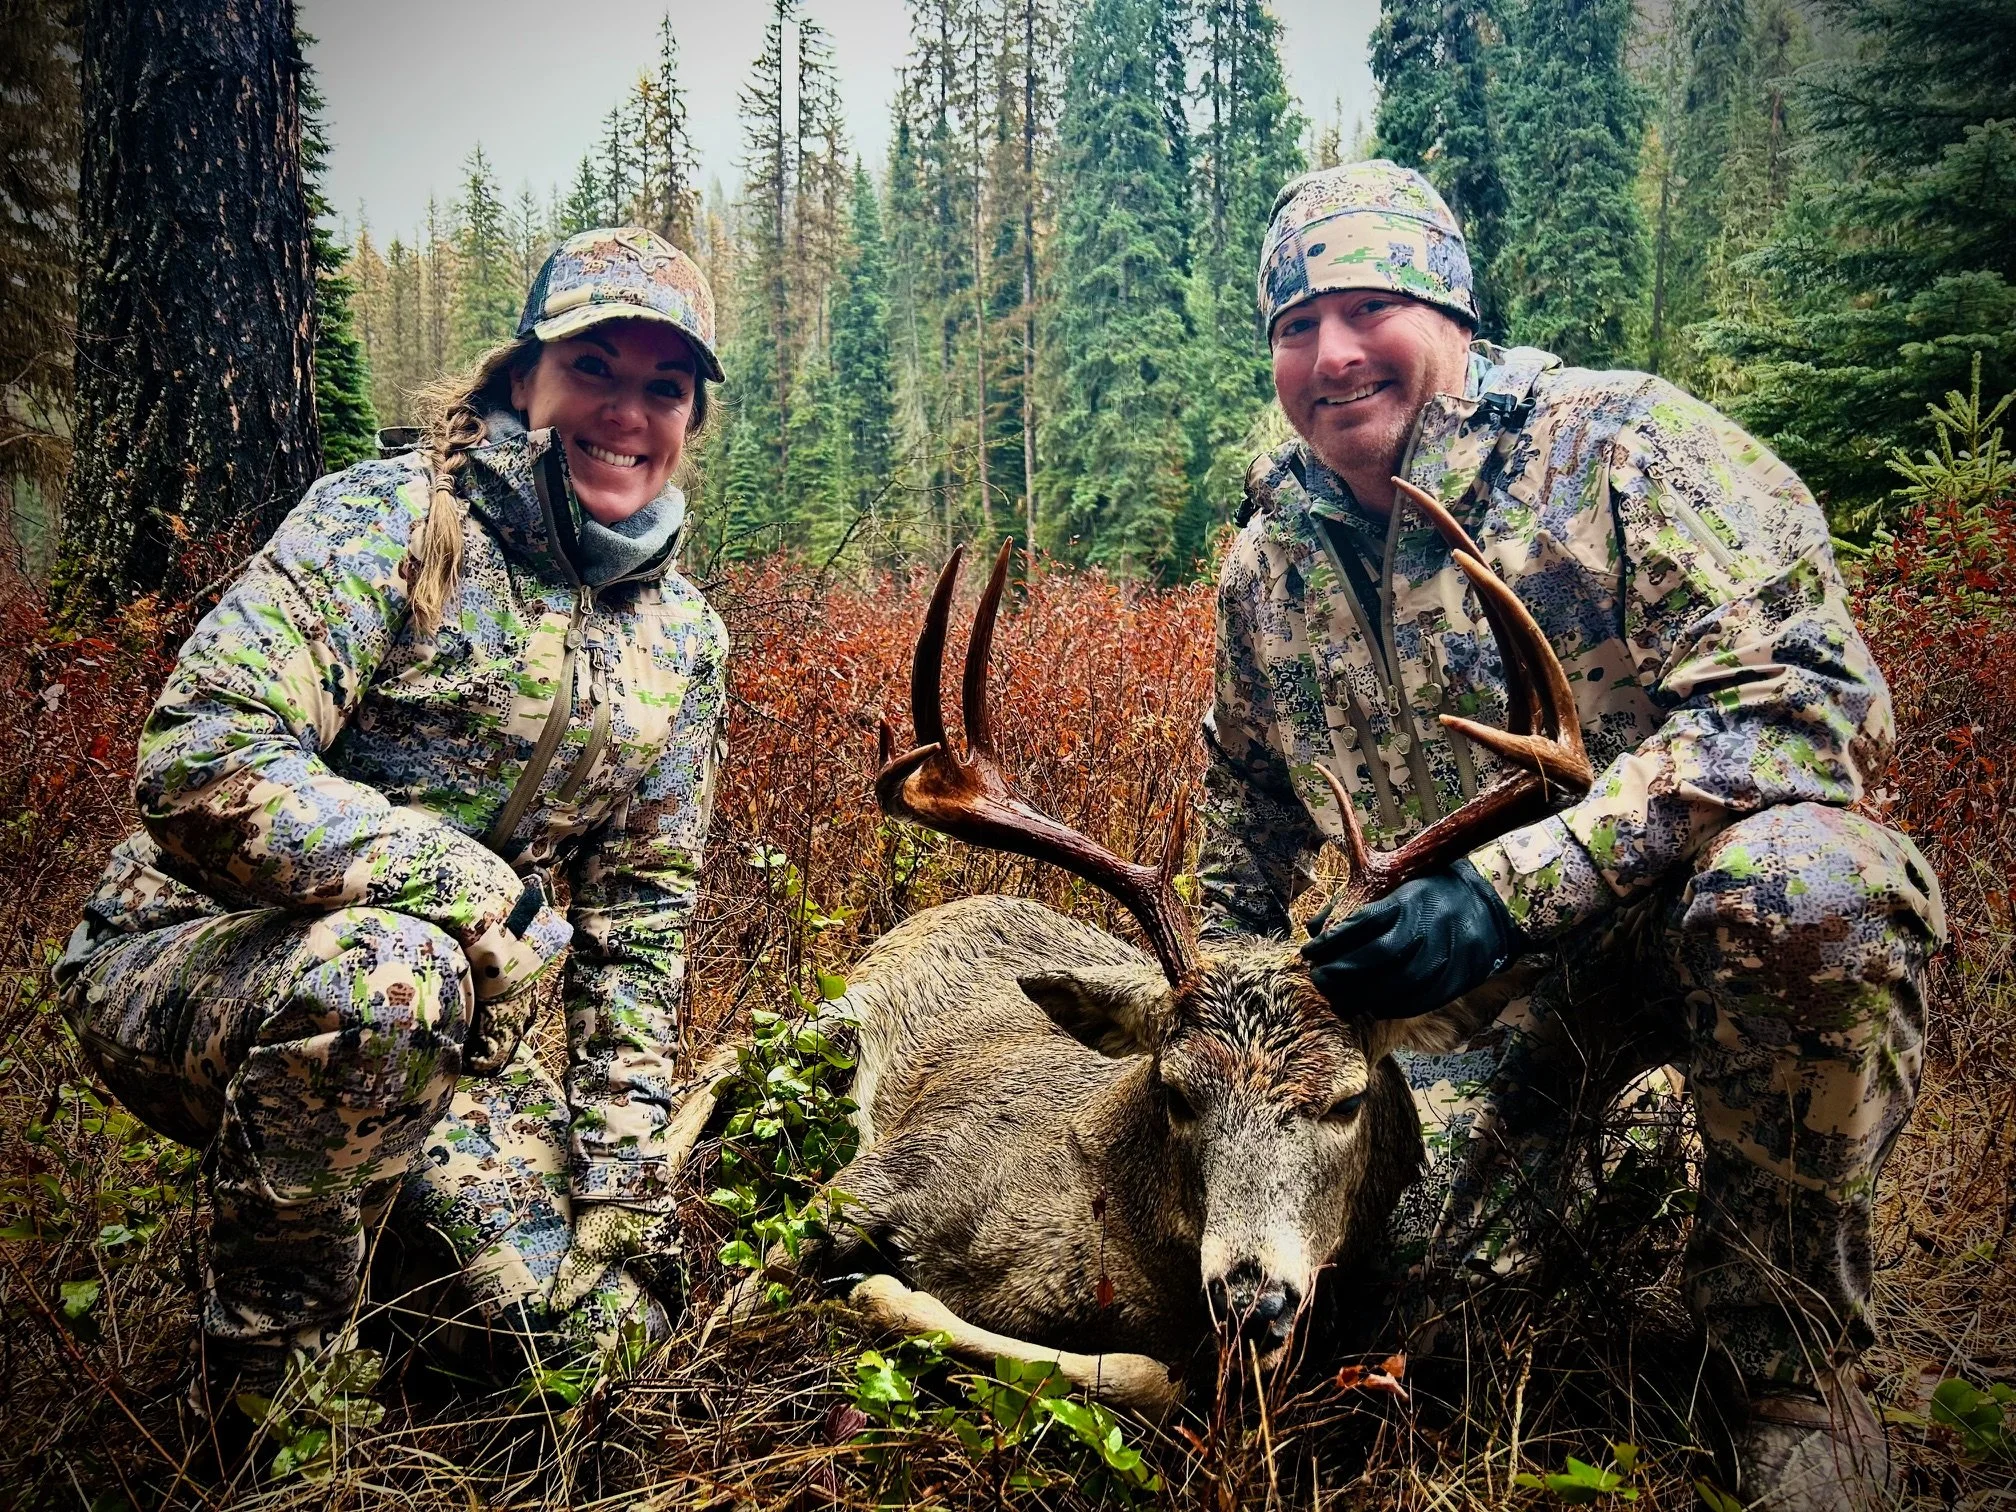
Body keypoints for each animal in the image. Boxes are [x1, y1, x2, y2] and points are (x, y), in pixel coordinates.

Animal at [740, 479, 1593, 1415]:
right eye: (1178, 1093)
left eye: (1347, 1101)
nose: (1254, 1301)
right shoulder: (890, 1168)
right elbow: (746, 1295)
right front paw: (866, 1288)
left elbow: (1149, 1375)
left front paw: (888, 1293)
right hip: (827, 1015)